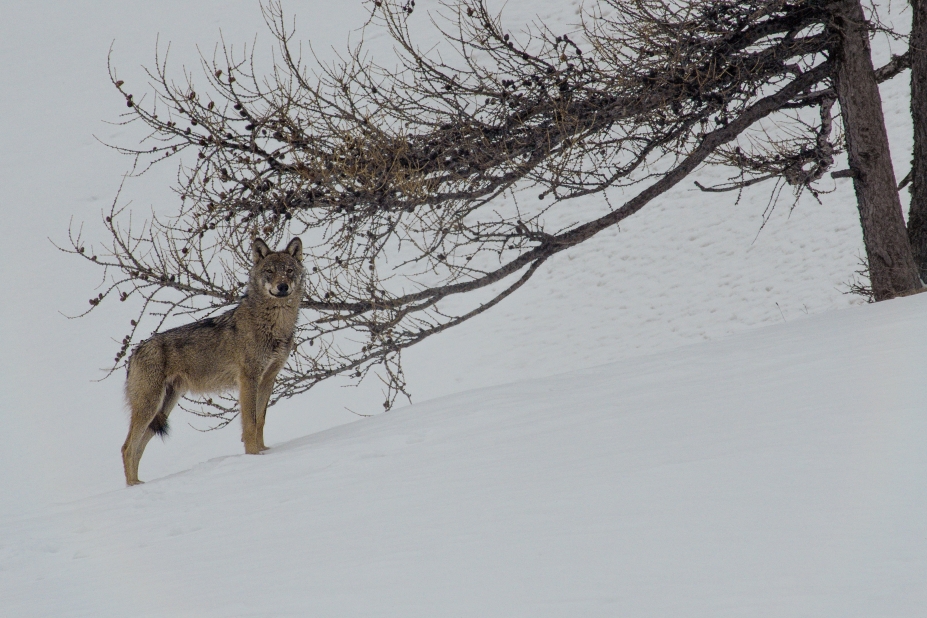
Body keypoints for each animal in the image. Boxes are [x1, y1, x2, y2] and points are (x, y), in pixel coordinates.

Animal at [120, 236, 304, 482]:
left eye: (289, 271)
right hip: (150, 407)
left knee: (138, 449)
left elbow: (261, 421)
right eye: (270, 271)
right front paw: (253, 457)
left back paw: (138, 485)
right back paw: (134, 485)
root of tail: (134, 353)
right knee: (127, 448)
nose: (282, 287)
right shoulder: (248, 380)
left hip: (163, 409)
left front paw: (264, 452)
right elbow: (250, 423)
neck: (274, 325)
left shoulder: (268, 379)